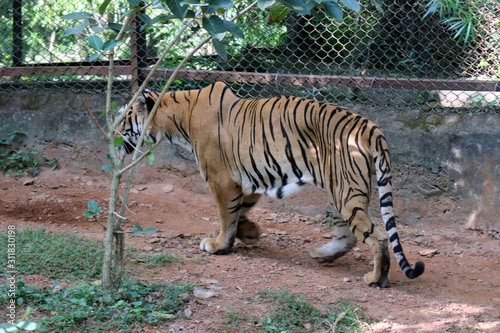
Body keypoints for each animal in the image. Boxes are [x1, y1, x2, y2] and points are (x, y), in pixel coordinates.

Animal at [116, 81, 422, 286]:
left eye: (123, 119)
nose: (112, 134)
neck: (177, 118)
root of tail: (369, 125)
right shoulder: (248, 181)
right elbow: (239, 213)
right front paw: (250, 234)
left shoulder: (221, 179)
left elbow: (226, 215)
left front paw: (218, 245)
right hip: (338, 189)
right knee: (348, 234)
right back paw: (321, 254)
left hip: (344, 190)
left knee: (377, 237)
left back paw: (376, 278)